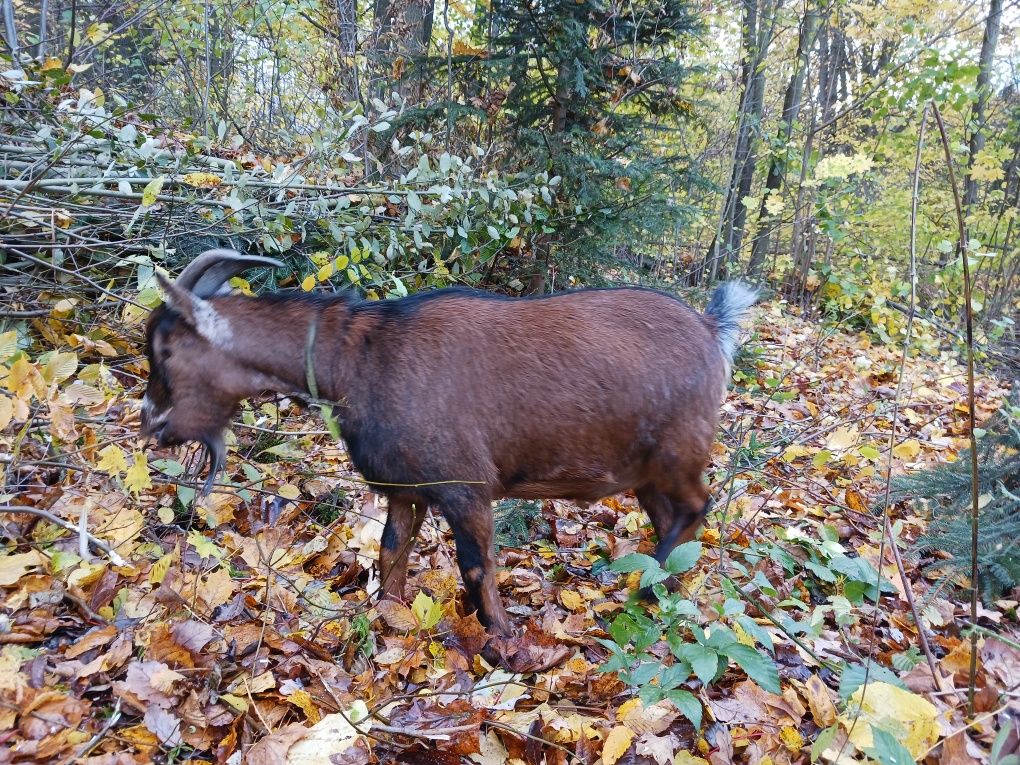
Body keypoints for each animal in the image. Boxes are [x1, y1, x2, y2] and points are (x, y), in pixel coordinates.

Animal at [139, 248, 754, 636]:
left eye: (165, 350)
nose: (149, 424)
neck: (359, 358)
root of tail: (712, 330)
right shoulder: (404, 488)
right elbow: (391, 553)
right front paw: (386, 622)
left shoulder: (466, 487)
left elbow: (477, 567)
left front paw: (506, 644)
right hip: (643, 470)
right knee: (671, 518)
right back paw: (659, 582)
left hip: (679, 452)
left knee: (698, 507)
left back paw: (645, 591)